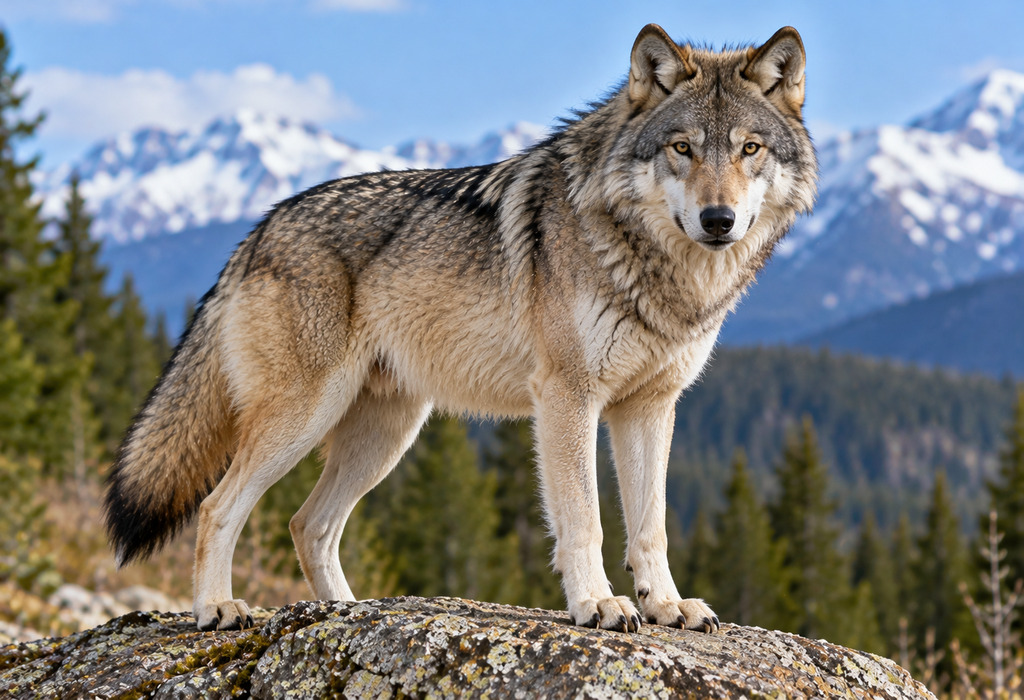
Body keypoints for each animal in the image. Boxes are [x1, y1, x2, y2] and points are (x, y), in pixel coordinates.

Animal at [105, 24, 816, 633]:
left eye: (749, 149)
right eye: (683, 148)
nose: (719, 219)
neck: (660, 270)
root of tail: (255, 232)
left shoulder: (649, 407)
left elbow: (650, 526)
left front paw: (666, 606)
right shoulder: (568, 397)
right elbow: (584, 519)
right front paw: (597, 604)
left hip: (386, 434)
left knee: (309, 525)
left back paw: (345, 613)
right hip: (305, 415)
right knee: (218, 508)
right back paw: (217, 610)